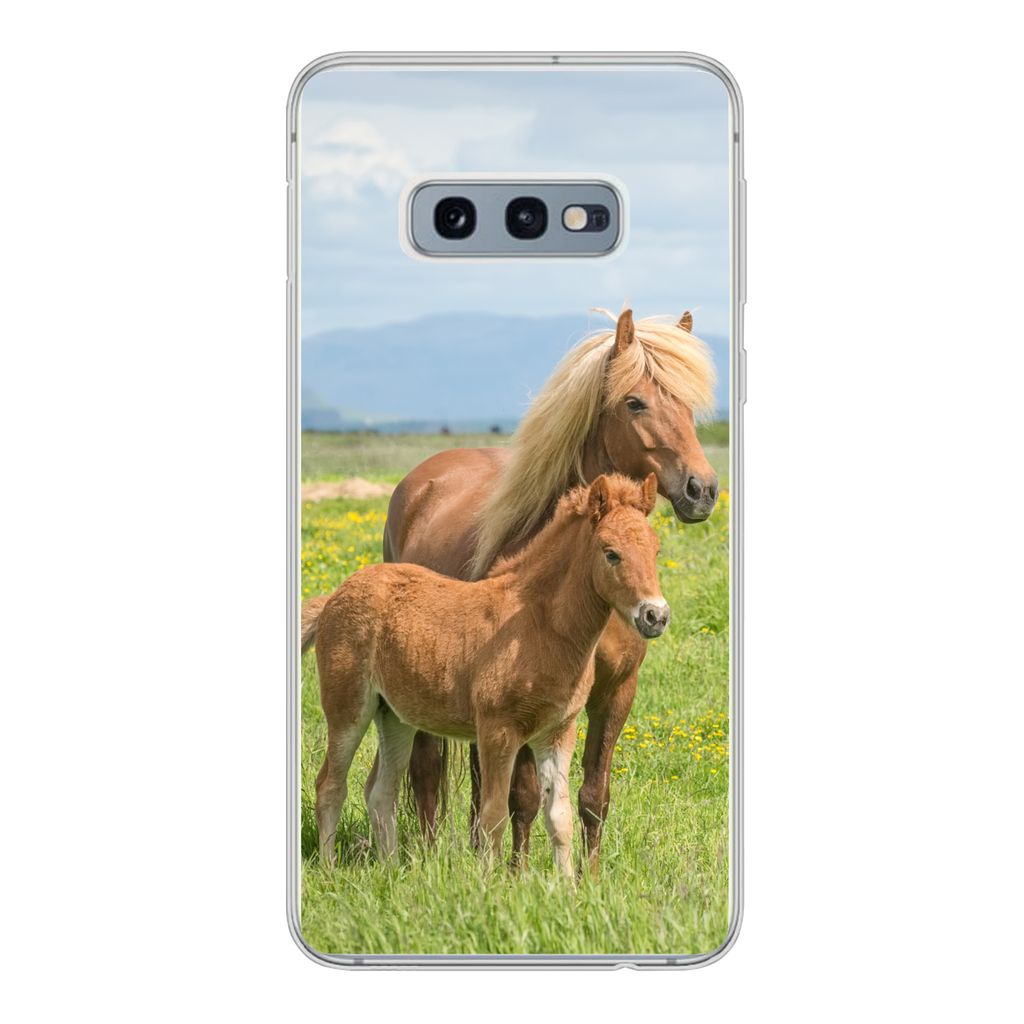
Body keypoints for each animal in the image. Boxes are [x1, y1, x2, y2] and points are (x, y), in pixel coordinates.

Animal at [304, 473, 667, 873]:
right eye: (610, 553)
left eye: (656, 551)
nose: (655, 615)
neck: (538, 625)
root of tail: (335, 596)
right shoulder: (498, 730)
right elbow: (492, 815)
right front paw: (490, 882)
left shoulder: (557, 731)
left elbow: (559, 817)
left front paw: (568, 884)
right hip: (348, 708)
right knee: (330, 785)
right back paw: (329, 867)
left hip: (394, 715)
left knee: (381, 792)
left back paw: (392, 870)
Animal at [374, 307, 718, 874]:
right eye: (635, 401)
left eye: (689, 405)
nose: (702, 490)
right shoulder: (527, 701)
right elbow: (526, 797)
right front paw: (517, 876)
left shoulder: (615, 692)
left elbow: (593, 796)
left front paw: (590, 878)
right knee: (427, 770)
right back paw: (427, 857)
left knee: (475, 784)